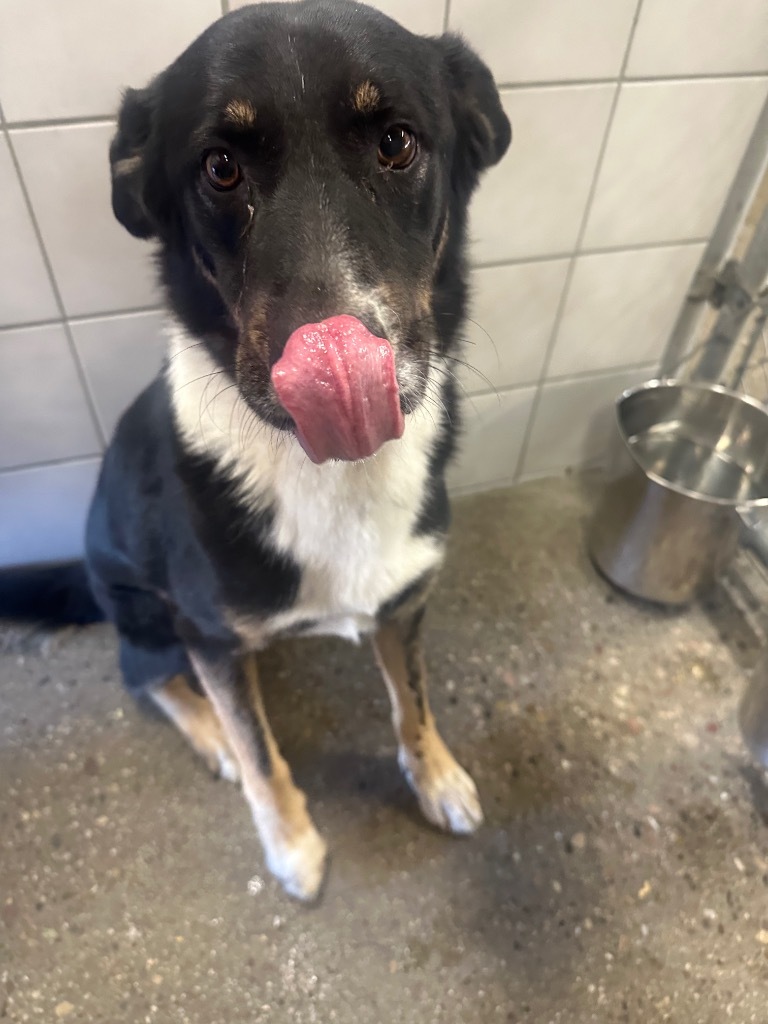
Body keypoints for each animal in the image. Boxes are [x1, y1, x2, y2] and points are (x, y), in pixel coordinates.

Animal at [15, 0, 512, 897]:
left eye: (396, 142)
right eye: (220, 167)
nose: (332, 358)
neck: (330, 471)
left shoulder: (405, 598)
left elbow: (413, 698)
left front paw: (436, 774)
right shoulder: (210, 632)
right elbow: (258, 750)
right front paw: (290, 842)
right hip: (144, 608)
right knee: (148, 674)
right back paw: (207, 732)